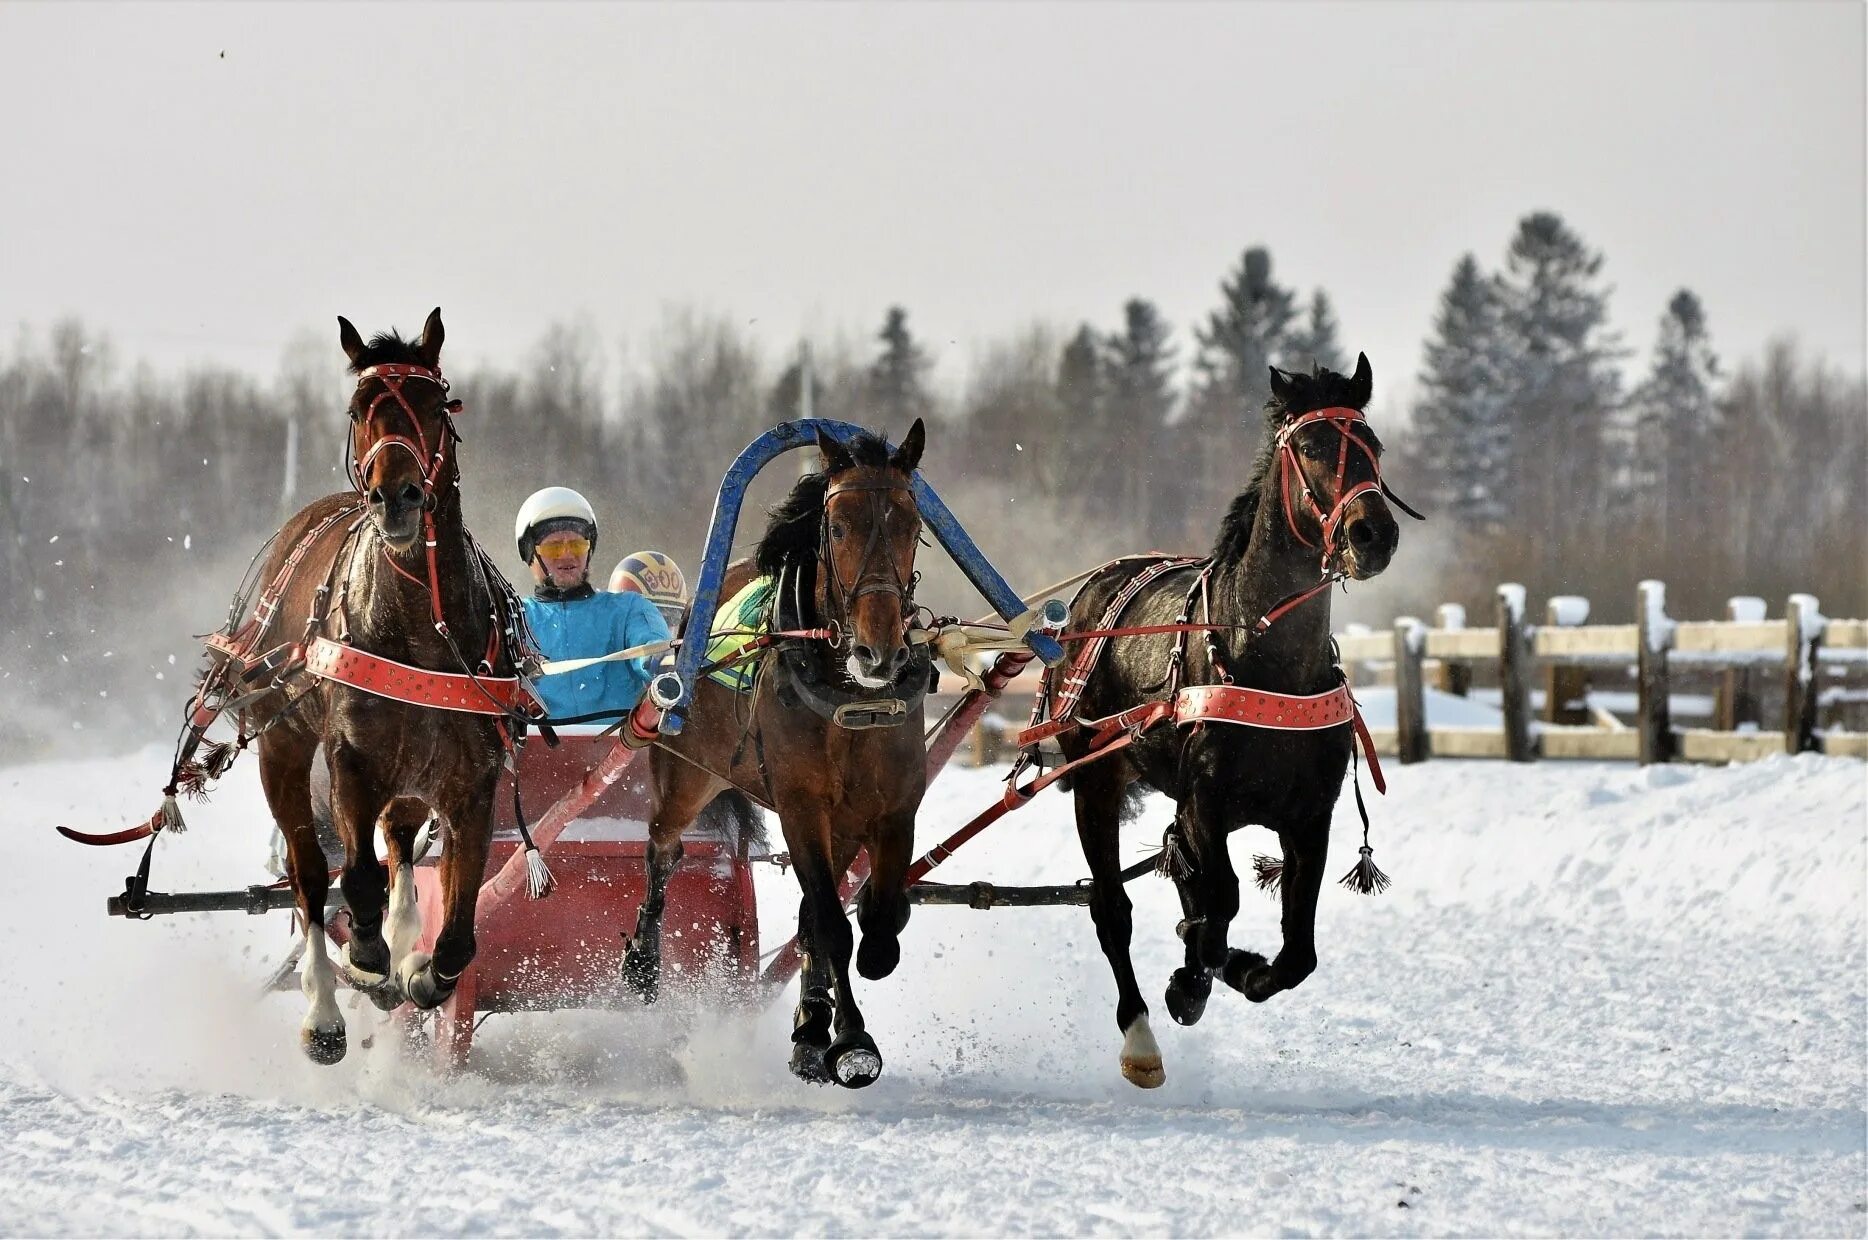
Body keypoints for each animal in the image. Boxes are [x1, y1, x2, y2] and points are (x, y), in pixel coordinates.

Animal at [226, 308, 537, 1053]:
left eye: (436, 404)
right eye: (358, 407)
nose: (395, 496)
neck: (422, 630)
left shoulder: (470, 782)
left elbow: (458, 929)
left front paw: (420, 969)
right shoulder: (351, 761)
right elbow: (356, 878)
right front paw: (368, 956)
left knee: (397, 844)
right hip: (285, 747)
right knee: (312, 875)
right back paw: (326, 1006)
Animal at [623, 422, 934, 1090]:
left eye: (911, 523)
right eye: (837, 526)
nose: (880, 652)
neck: (849, 696)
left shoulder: (891, 810)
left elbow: (876, 920)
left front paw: (819, 1027)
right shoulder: (801, 807)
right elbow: (833, 927)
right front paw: (852, 1040)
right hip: (685, 773)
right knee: (663, 849)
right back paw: (642, 961)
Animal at [1053, 351, 1404, 1083]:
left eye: (1373, 447)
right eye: (1311, 446)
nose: (1373, 534)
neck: (1266, 664)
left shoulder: (1310, 814)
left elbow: (1296, 951)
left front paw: (1236, 967)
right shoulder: (1205, 802)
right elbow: (1219, 899)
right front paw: (1193, 977)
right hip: (1095, 780)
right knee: (1113, 909)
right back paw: (1141, 1033)